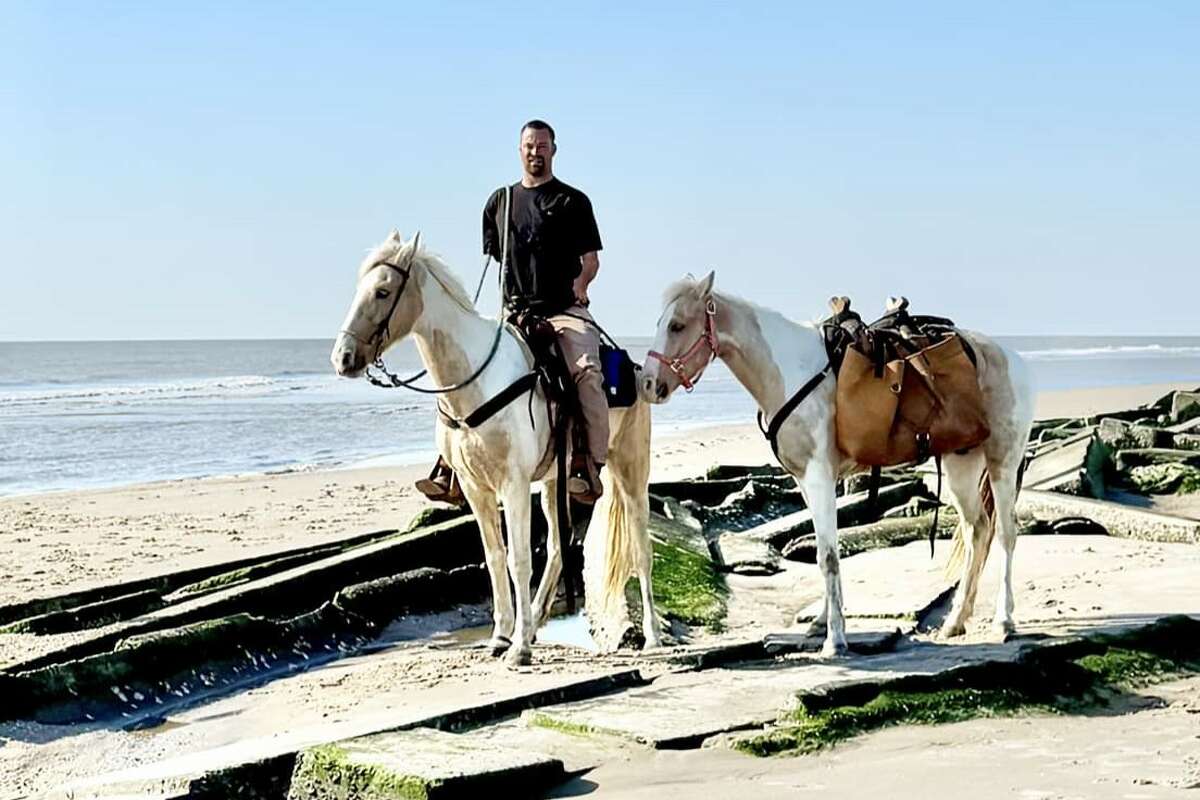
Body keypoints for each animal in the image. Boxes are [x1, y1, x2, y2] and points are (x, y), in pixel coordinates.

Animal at [333, 232, 662, 671]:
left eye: (383, 292)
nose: (342, 358)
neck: (476, 379)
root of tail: (635, 372)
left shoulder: (513, 485)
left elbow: (518, 558)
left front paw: (519, 647)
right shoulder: (477, 489)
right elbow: (493, 558)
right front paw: (502, 636)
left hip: (629, 469)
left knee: (641, 548)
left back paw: (653, 637)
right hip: (556, 482)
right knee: (557, 549)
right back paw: (535, 621)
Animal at [643, 273, 1036, 657]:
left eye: (677, 325)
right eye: (660, 323)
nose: (647, 384)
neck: (791, 372)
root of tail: (1012, 359)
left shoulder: (819, 477)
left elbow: (829, 556)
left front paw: (835, 639)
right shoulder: (806, 481)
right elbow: (825, 549)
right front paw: (821, 623)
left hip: (1002, 460)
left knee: (1006, 533)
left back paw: (1004, 621)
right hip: (961, 465)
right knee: (977, 531)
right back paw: (956, 621)